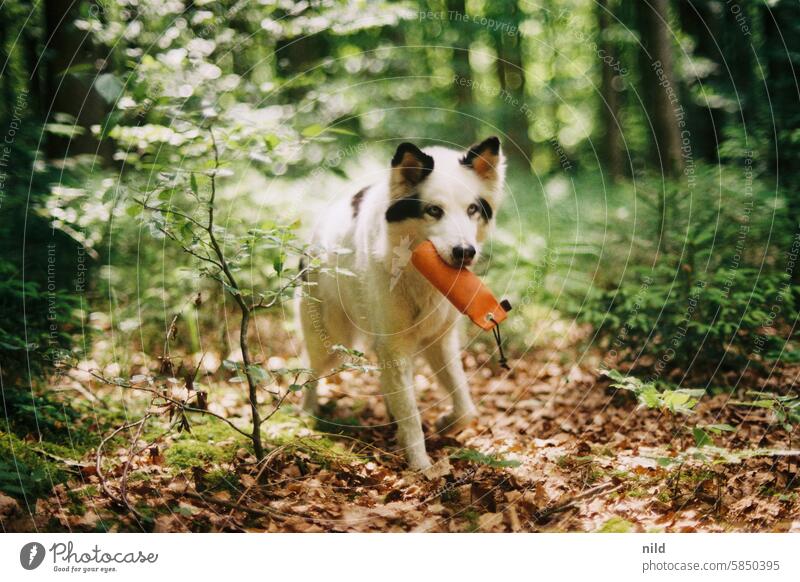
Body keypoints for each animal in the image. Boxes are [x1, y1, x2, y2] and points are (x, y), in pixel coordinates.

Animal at [300, 137, 506, 470]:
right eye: (434, 210)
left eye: (472, 209)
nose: (465, 252)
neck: (418, 275)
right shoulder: (394, 347)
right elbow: (411, 413)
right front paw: (421, 467)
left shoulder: (440, 342)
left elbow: (465, 406)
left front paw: (446, 423)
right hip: (331, 338)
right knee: (310, 370)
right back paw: (306, 414)